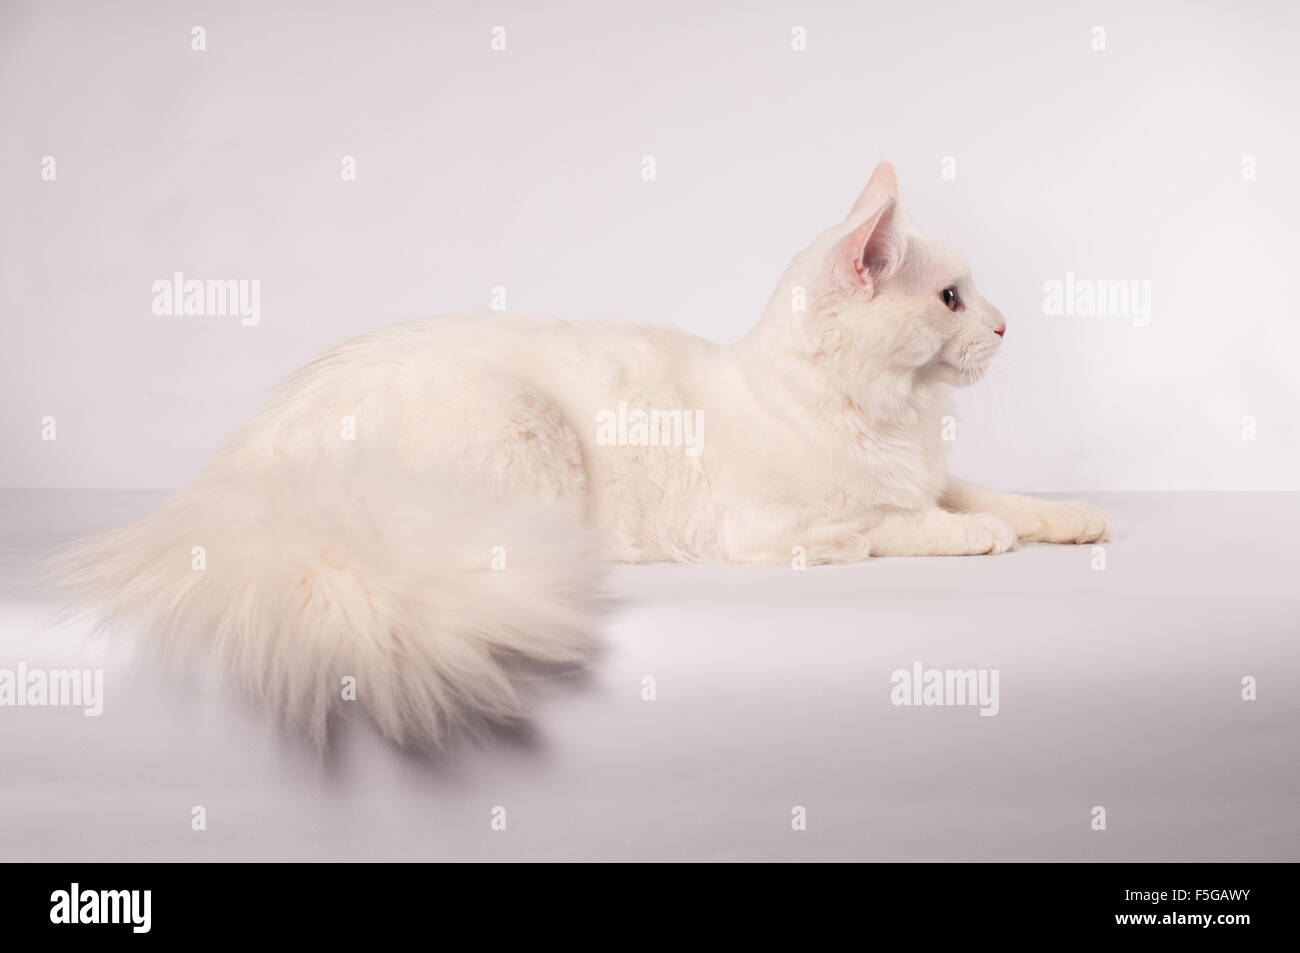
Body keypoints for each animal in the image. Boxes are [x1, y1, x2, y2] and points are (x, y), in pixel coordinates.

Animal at [48, 161, 1107, 743]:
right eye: (953, 300)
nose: (1006, 326)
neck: (895, 415)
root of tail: (245, 475)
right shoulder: (792, 526)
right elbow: (906, 521)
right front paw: (974, 540)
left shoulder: (934, 469)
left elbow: (996, 494)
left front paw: (1072, 518)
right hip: (523, 434)